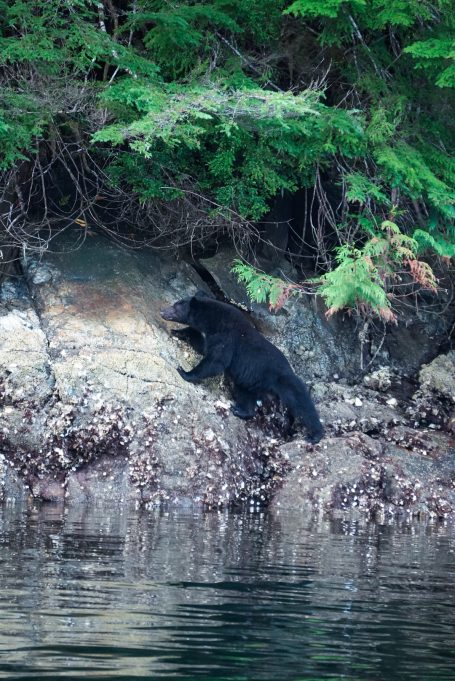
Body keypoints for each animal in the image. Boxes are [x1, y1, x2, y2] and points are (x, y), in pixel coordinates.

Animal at [160, 291, 324, 443]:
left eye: (175, 306)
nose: (162, 311)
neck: (213, 320)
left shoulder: (227, 339)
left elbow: (215, 361)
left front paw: (184, 372)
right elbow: (202, 345)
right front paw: (178, 332)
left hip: (283, 381)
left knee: (302, 404)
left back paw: (315, 434)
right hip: (248, 382)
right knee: (244, 396)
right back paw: (241, 410)